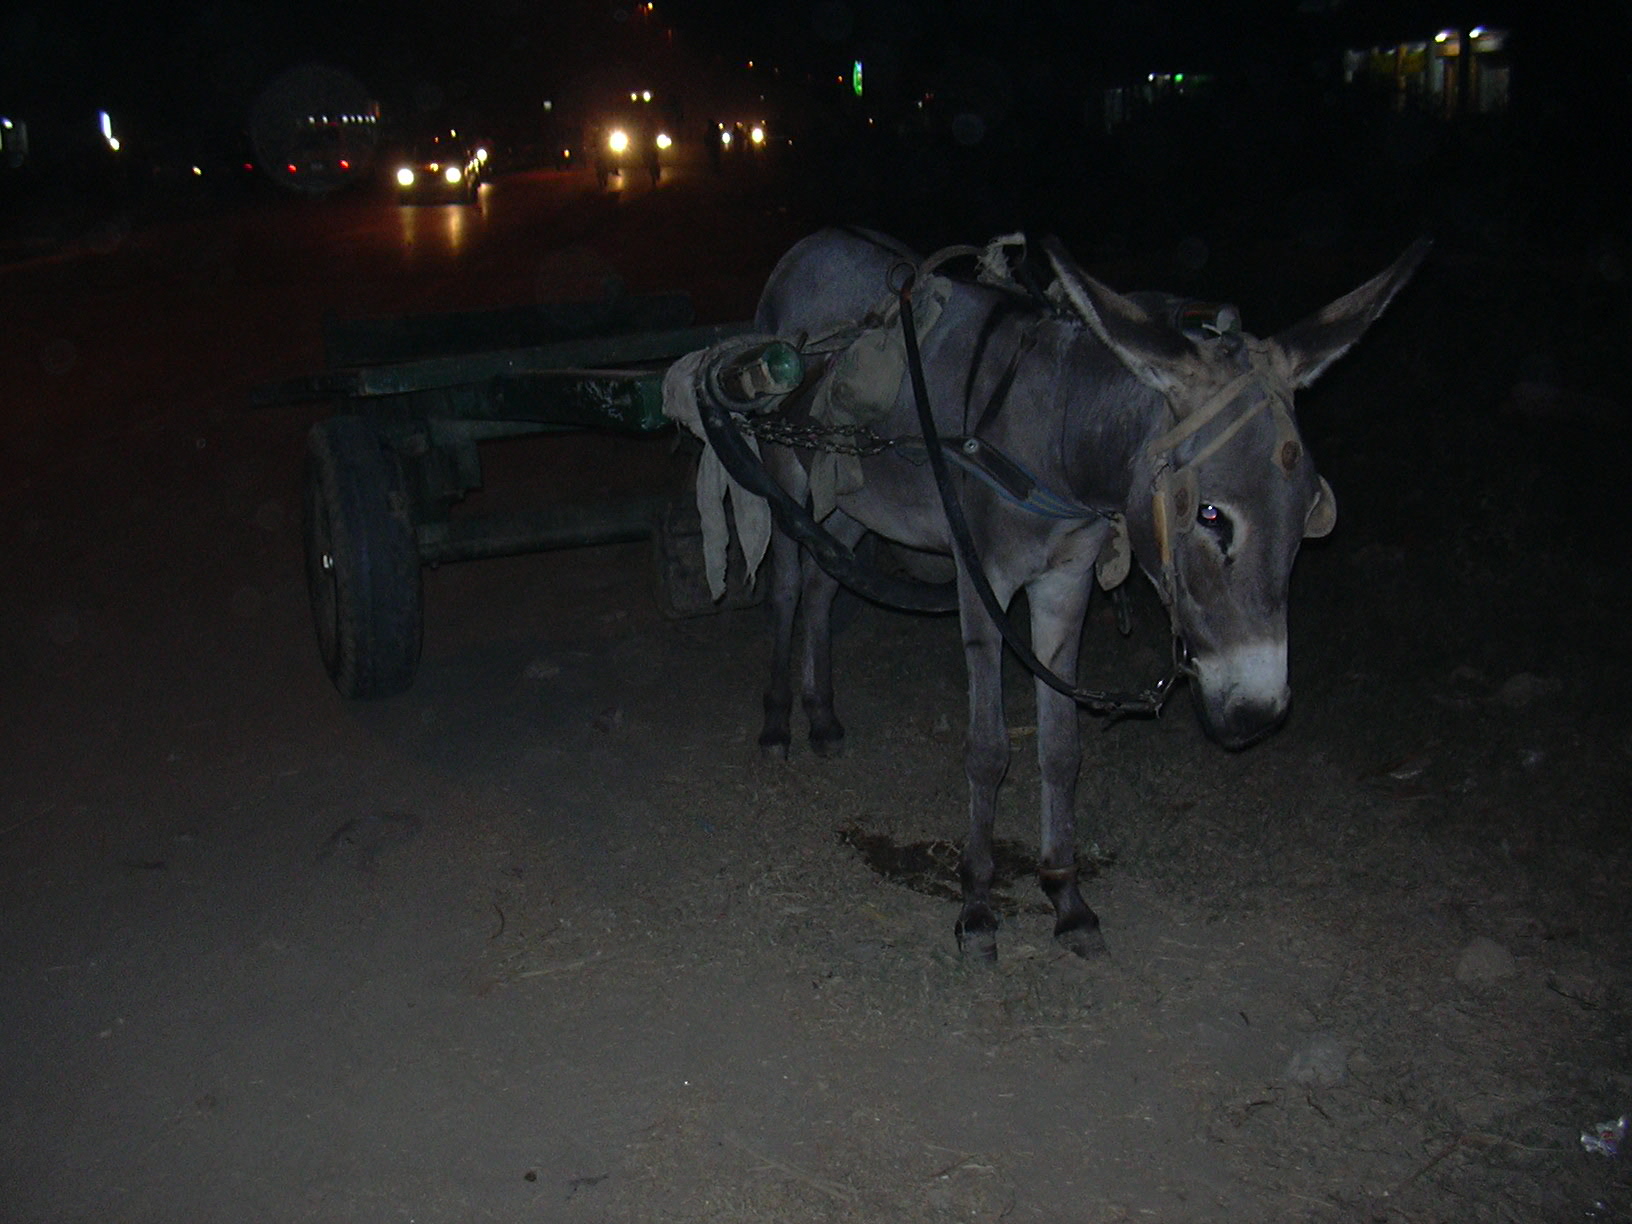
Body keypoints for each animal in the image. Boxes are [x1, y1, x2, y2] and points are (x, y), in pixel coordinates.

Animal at [744, 227, 1428, 960]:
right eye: (1210, 514)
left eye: (1309, 517)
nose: (1258, 715)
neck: (1057, 435)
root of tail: (814, 242)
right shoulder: (984, 582)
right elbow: (989, 750)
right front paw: (976, 906)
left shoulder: (1065, 584)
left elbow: (1061, 748)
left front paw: (1067, 899)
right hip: (785, 467)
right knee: (788, 587)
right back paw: (778, 724)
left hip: (853, 500)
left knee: (824, 583)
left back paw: (823, 719)